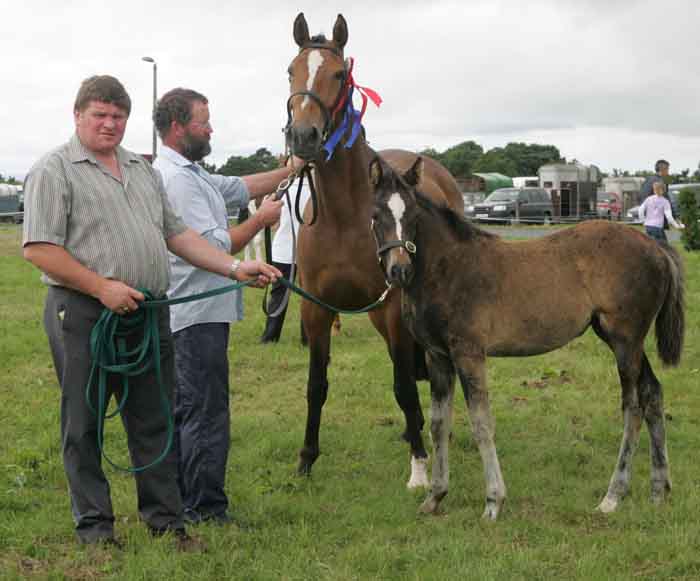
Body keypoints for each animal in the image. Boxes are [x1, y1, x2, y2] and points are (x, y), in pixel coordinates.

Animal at [284, 13, 464, 484]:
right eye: (291, 71)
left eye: (338, 75)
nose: (304, 136)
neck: (346, 217)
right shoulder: (316, 308)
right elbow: (316, 385)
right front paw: (306, 458)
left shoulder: (392, 306)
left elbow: (403, 384)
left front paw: (419, 466)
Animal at [370, 154, 688, 516]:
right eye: (376, 215)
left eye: (412, 216)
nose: (398, 270)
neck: (446, 267)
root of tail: (657, 249)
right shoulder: (438, 356)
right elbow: (439, 423)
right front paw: (435, 496)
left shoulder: (469, 352)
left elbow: (481, 422)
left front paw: (493, 501)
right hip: (622, 340)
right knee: (652, 394)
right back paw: (659, 488)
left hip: (625, 340)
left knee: (632, 407)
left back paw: (613, 495)